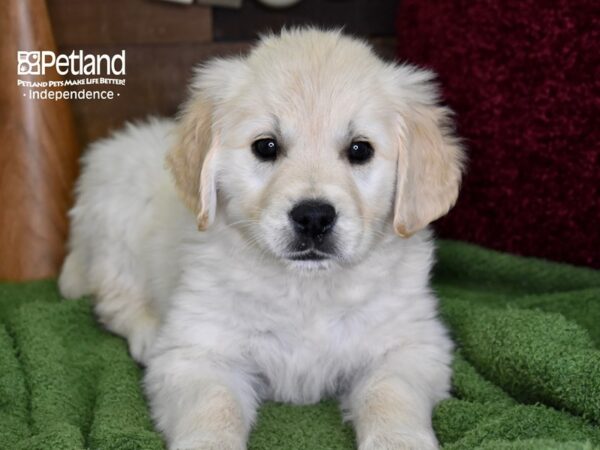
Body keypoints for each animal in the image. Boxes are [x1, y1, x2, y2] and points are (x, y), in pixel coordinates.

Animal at [58, 29, 464, 450]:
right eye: (266, 146)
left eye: (360, 149)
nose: (314, 217)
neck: (307, 288)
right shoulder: (198, 351)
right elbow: (214, 405)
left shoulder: (410, 344)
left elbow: (391, 394)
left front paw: (399, 440)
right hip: (116, 228)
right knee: (114, 301)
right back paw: (147, 332)